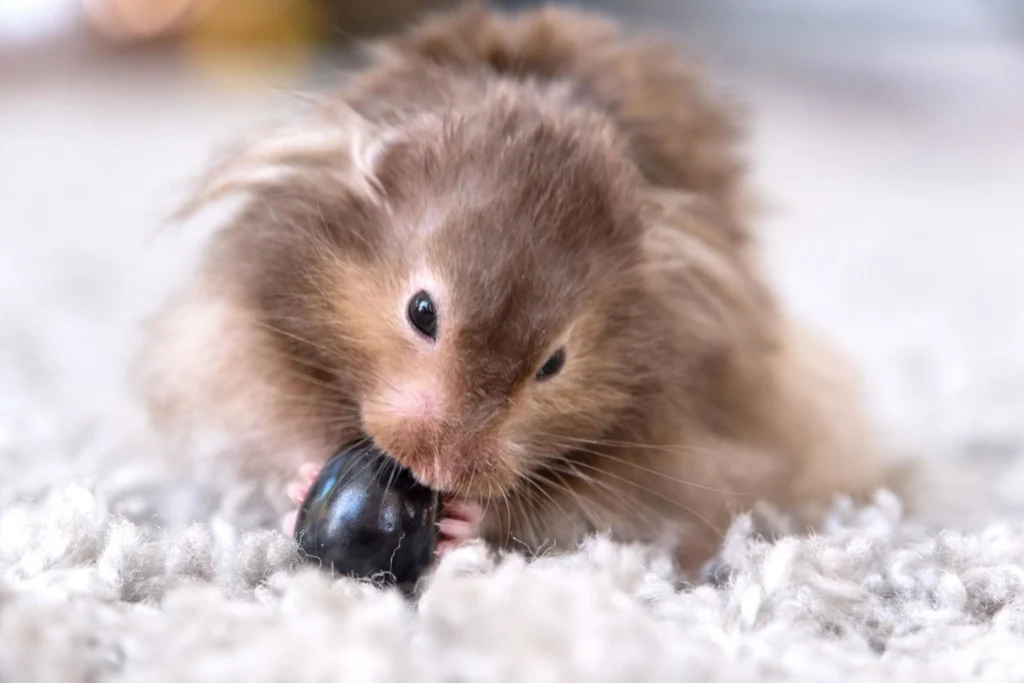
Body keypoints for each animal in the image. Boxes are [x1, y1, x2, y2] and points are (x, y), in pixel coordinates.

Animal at [135, 3, 886, 573]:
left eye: (553, 364)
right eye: (422, 312)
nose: (437, 470)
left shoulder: (683, 454)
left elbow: (575, 503)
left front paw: (464, 518)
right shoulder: (240, 341)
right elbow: (277, 422)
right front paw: (300, 482)